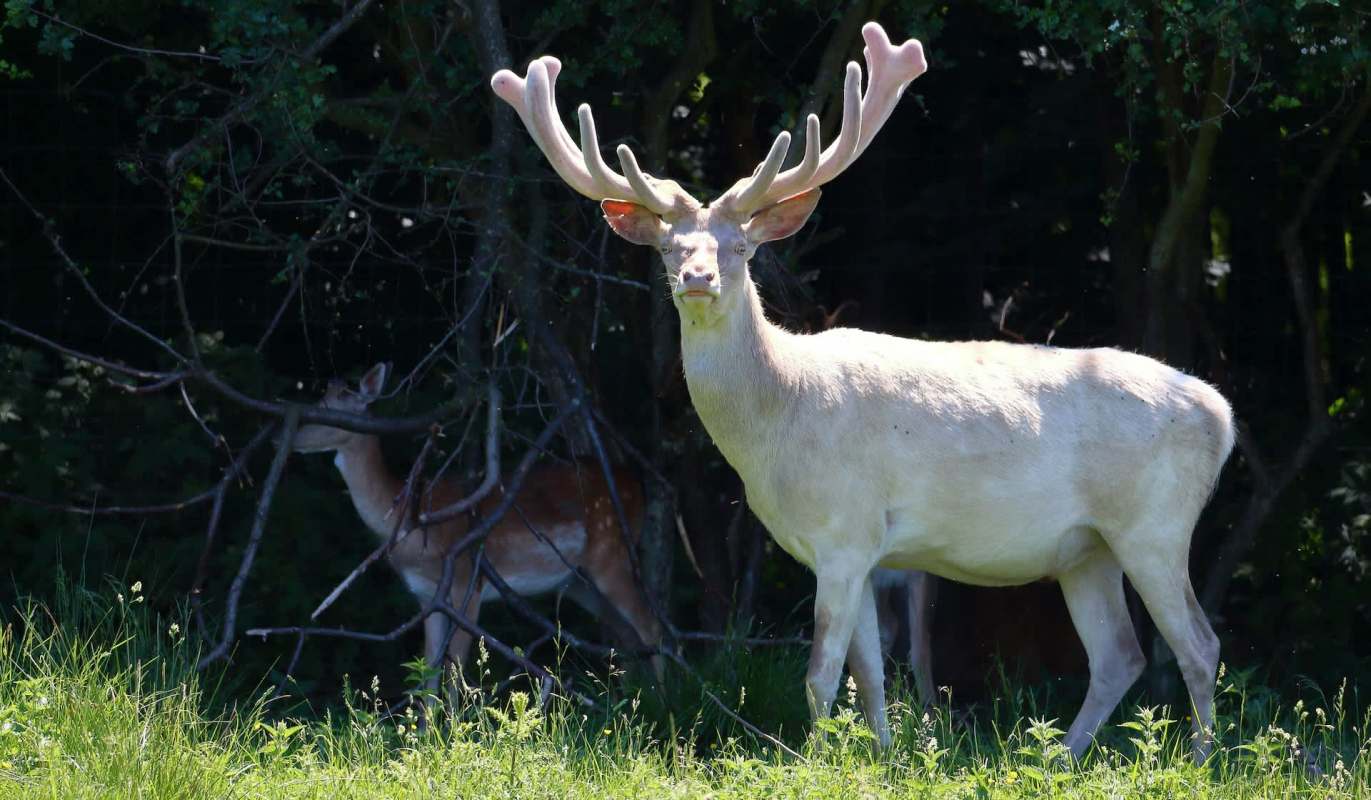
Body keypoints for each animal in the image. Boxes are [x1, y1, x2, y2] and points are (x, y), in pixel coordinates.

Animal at [291, 363, 663, 698]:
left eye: (330, 412)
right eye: (318, 400)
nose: (293, 438)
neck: (413, 523)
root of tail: (637, 483)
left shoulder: (466, 581)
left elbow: (454, 673)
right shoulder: (427, 596)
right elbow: (429, 675)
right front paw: (427, 730)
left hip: (611, 553)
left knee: (651, 627)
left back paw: (664, 698)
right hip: (578, 582)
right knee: (627, 636)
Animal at [491, 21, 1233, 760]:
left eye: (740, 248)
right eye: (670, 248)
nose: (697, 279)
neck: (777, 423)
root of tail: (1221, 416)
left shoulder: (844, 530)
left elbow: (821, 674)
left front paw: (815, 762)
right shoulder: (865, 549)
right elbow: (870, 675)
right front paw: (880, 756)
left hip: (1155, 524)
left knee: (1198, 645)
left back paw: (1196, 764)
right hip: (1086, 548)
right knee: (1118, 655)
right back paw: (1059, 758)